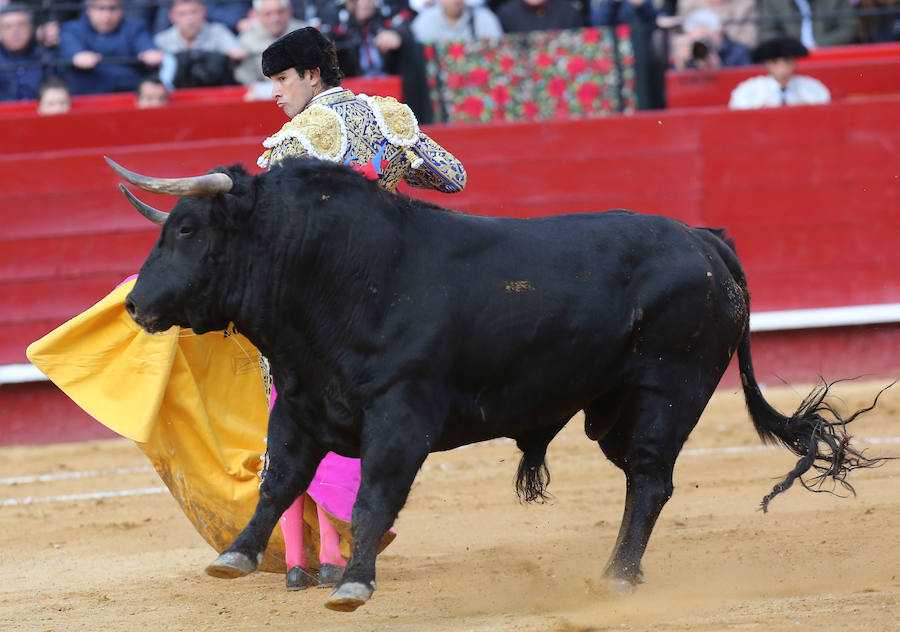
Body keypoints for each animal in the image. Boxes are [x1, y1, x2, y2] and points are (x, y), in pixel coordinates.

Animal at [107, 154, 884, 612]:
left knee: (651, 480)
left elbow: (372, 497)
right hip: (611, 409)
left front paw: (354, 583)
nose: (137, 307)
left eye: (187, 230)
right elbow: (279, 482)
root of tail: (705, 239)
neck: (342, 273)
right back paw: (622, 573)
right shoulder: (301, 403)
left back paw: (617, 577)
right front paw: (235, 556)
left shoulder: (402, 416)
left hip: (671, 391)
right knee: (644, 479)